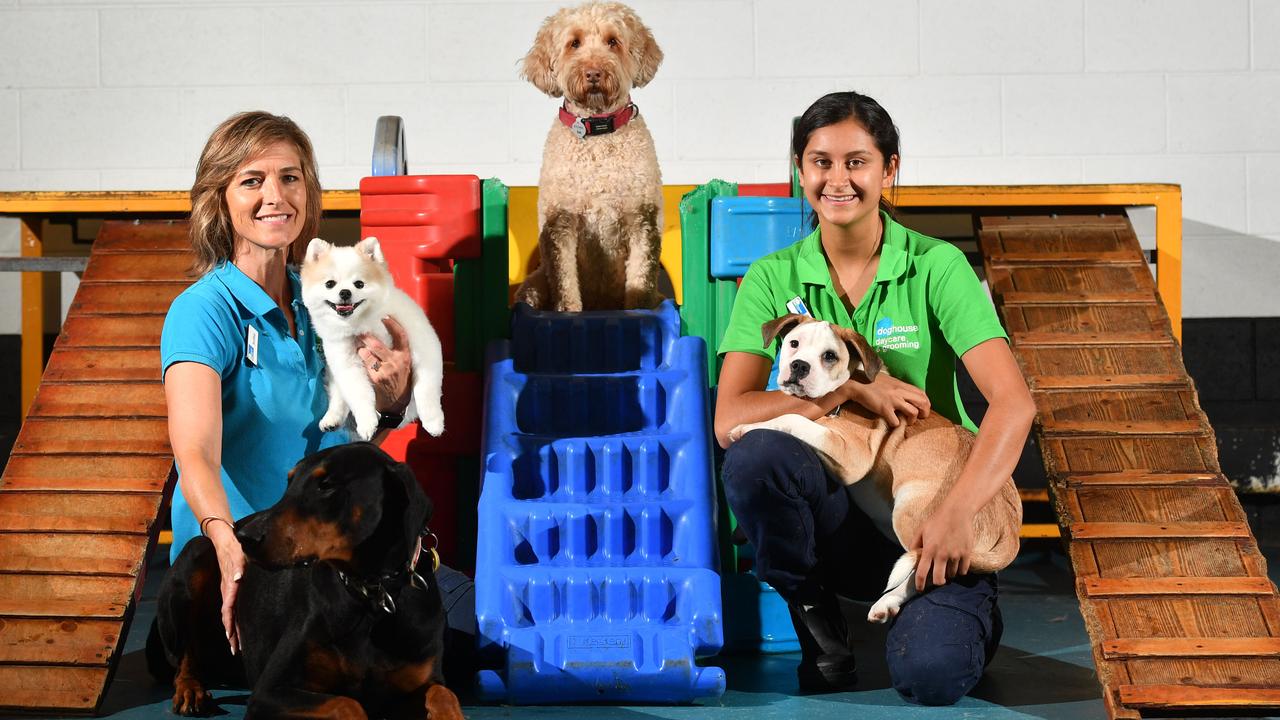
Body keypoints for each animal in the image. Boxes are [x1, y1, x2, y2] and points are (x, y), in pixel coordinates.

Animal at [732, 313, 1018, 622]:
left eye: (829, 356)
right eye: (794, 344)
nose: (799, 366)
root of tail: (1011, 530)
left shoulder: (852, 455)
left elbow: (793, 418)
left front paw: (746, 427)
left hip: (910, 510)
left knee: (928, 571)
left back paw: (888, 602)